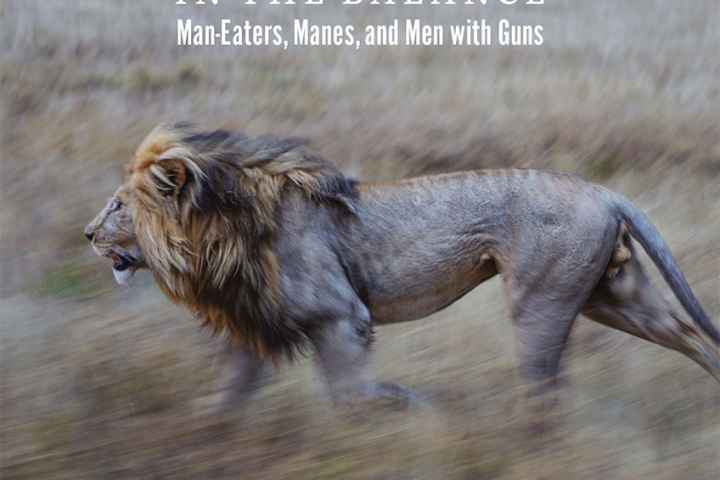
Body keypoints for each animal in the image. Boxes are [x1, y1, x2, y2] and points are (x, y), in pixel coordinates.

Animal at [85, 123, 720, 412]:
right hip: (611, 295)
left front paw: (414, 409)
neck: (216, 235)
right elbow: (226, 400)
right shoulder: (255, 328)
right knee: (691, 335)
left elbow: (351, 394)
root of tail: (603, 191)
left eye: (117, 205)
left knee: (545, 387)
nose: (87, 234)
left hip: (542, 301)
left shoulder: (340, 315)